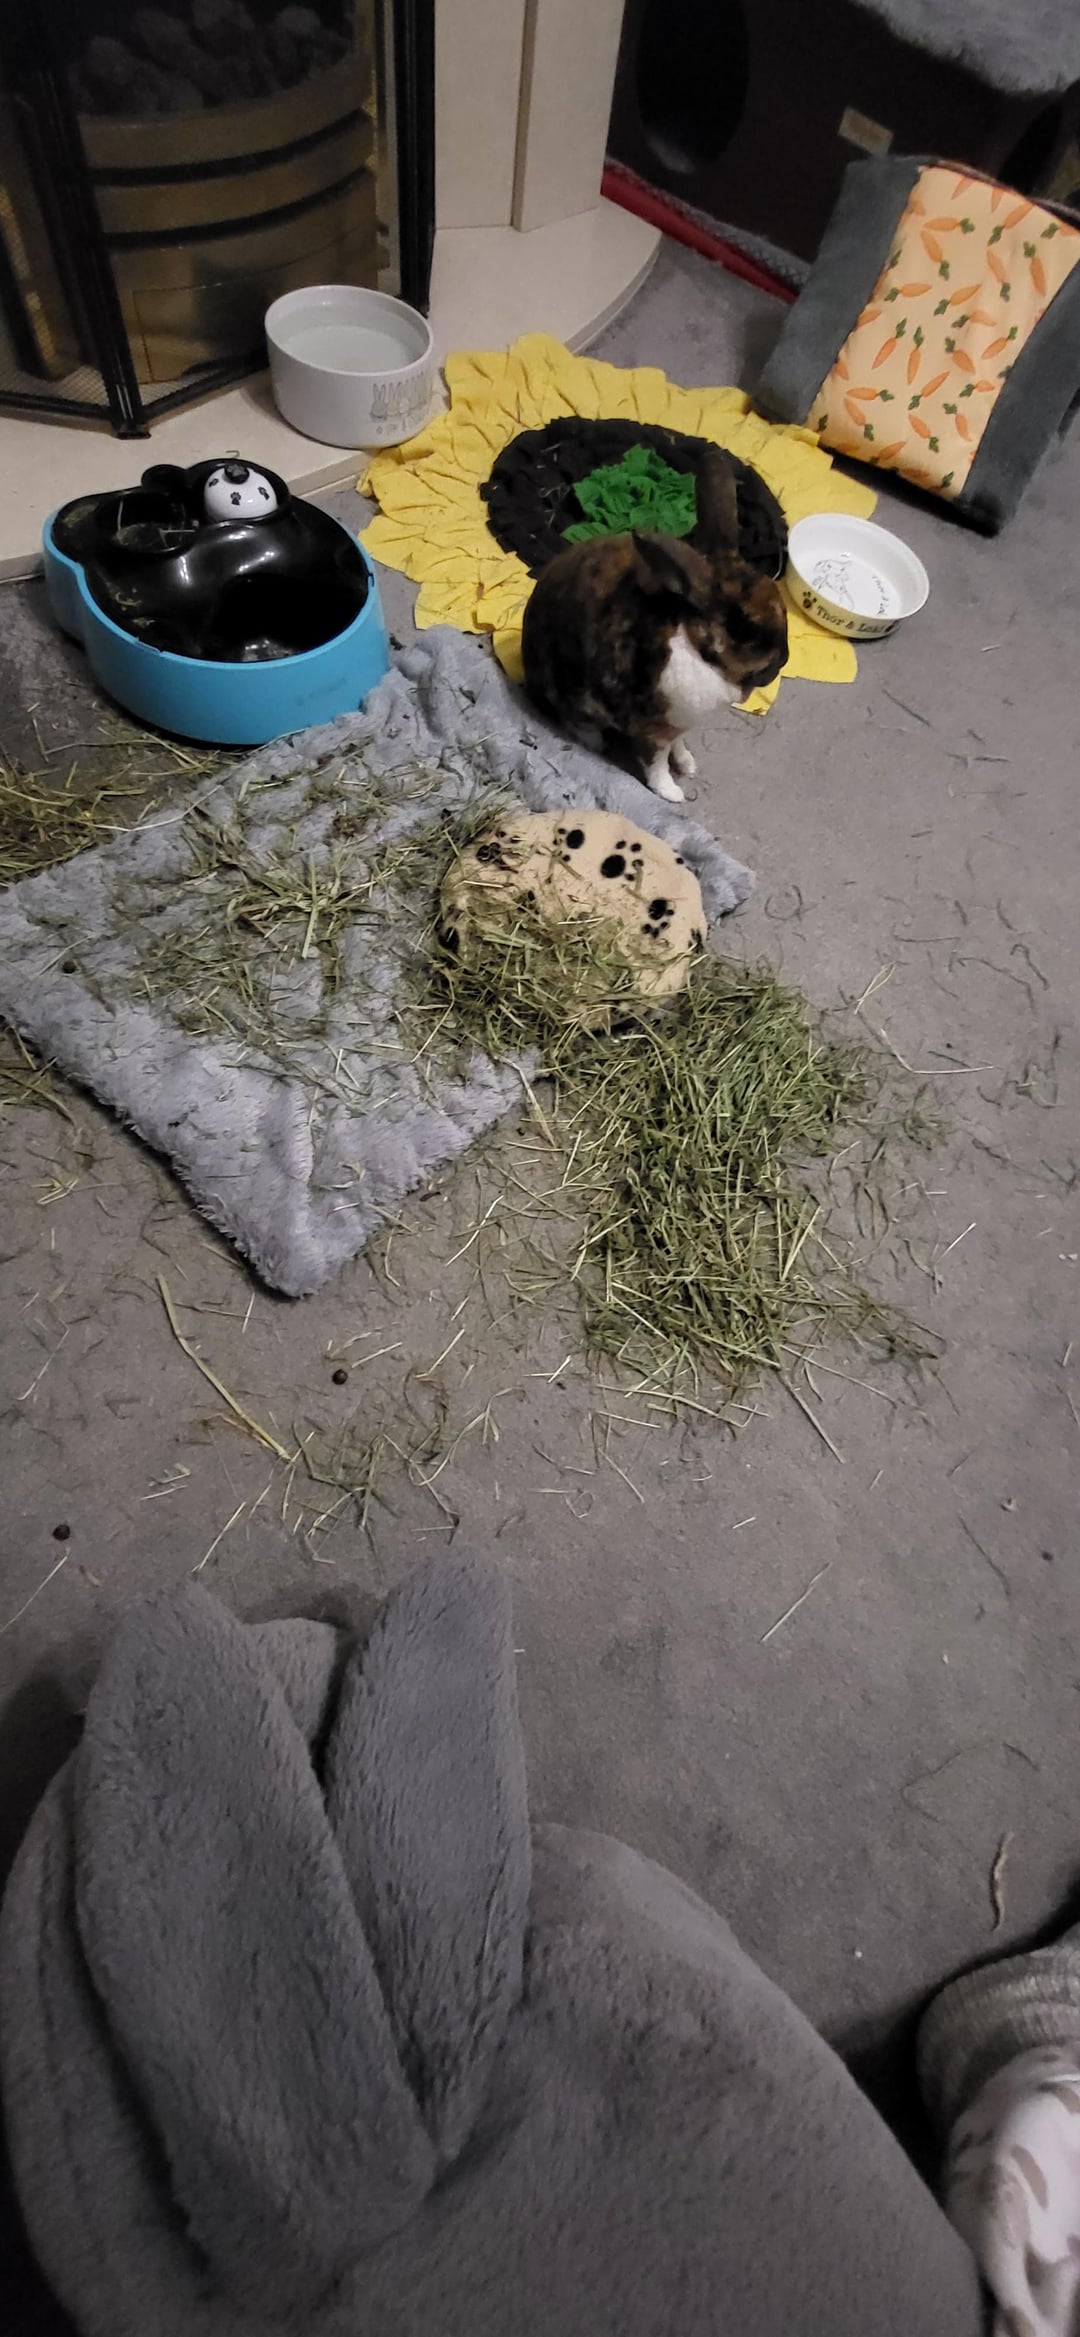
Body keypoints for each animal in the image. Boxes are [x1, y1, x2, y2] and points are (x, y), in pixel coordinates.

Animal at [521, 445, 788, 801]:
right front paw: (672, 792)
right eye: (745, 628)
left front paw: (688, 764)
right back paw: (596, 742)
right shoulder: (652, 727)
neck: (694, 646)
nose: (783, 661)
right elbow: (655, 763)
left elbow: (679, 745)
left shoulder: (678, 726)